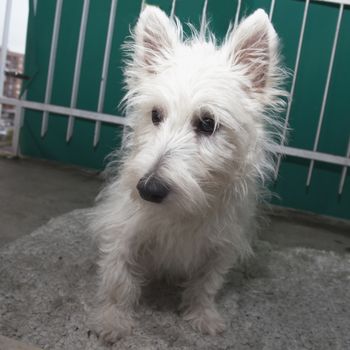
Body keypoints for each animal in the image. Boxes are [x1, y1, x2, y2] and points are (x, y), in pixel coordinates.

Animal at [91, 5, 288, 344]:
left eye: (208, 123)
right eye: (155, 115)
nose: (148, 189)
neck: (185, 208)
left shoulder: (222, 246)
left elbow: (206, 285)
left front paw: (202, 316)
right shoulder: (123, 232)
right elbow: (119, 279)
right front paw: (114, 321)